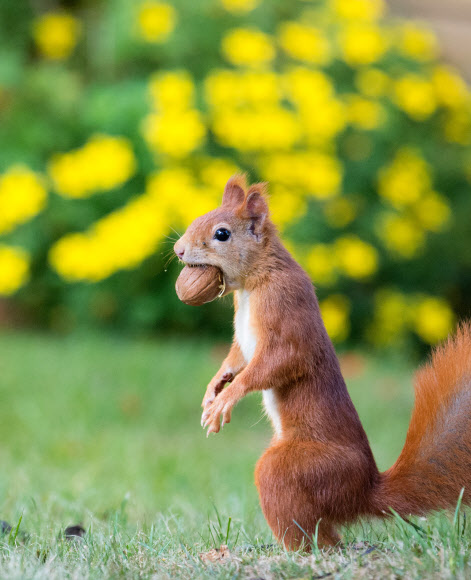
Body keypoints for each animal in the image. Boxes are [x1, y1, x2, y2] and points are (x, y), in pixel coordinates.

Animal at [173, 174, 471, 552]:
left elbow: (279, 362)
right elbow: (237, 357)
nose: (178, 250)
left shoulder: (286, 311)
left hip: (300, 469)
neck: (255, 281)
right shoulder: (243, 339)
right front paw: (215, 386)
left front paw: (227, 399)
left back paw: (296, 552)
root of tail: (363, 493)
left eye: (222, 234)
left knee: (314, 531)